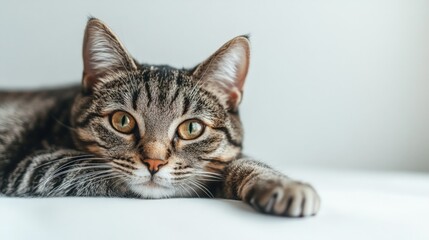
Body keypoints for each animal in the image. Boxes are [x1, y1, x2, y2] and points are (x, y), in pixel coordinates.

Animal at [0, 18, 320, 218]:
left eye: (192, 128)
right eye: (122, 121)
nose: (154, 163)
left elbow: (235, 163)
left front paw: (279, 183)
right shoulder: (32, 165)